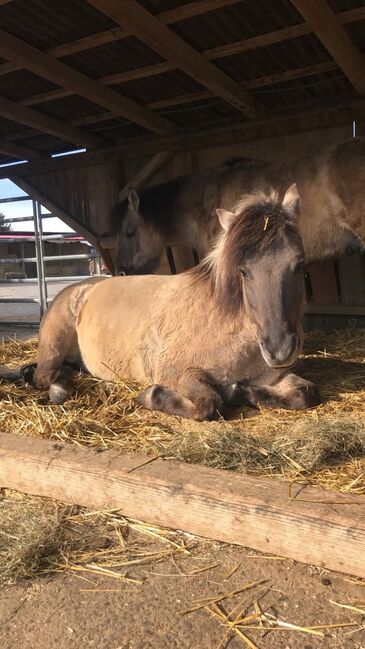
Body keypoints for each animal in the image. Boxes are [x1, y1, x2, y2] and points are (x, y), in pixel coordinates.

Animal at [0, 182, 318, 420]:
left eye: (300, 264)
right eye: (244, 272)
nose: (279, 350)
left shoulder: (273, 377)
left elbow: (306, 393)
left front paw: (239, 390)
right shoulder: (178, 373)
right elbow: (209, 404)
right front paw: (152, 395)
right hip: (53, 346)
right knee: (45, 376)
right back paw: (58, 388)